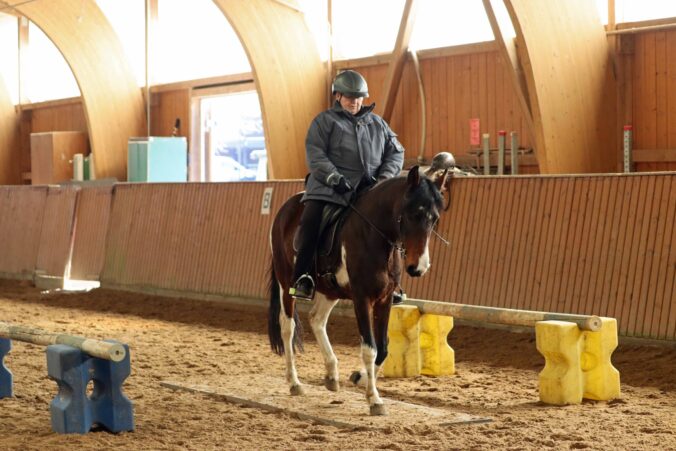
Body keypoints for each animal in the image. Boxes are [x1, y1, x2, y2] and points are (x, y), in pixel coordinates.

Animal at [266, 162, 452, 416]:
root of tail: (286, 207)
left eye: (434, 219)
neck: (374, 236)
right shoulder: (362, 298)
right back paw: (295, 383)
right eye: (413, 214)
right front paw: (374, 400)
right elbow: (369, 348)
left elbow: (382, 348)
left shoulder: (384, 299)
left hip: (330, 290)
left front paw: (359, 377)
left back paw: (331, 375)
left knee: (317, 319)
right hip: (287, 283)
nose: (418, 267)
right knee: (288, 327)